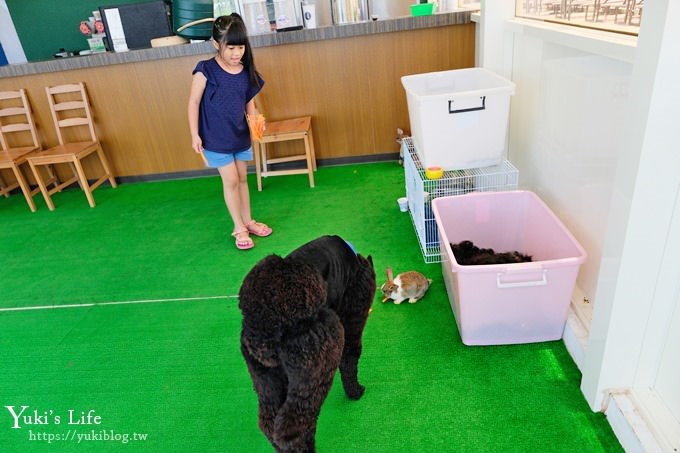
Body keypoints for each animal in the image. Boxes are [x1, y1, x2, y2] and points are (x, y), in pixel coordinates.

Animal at [239, 235, 378, 450]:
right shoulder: (353, 320)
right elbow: (350, 359)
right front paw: (355, 391)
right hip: (314, 369)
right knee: (295, 427)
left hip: (265, 379)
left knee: (268, 423)